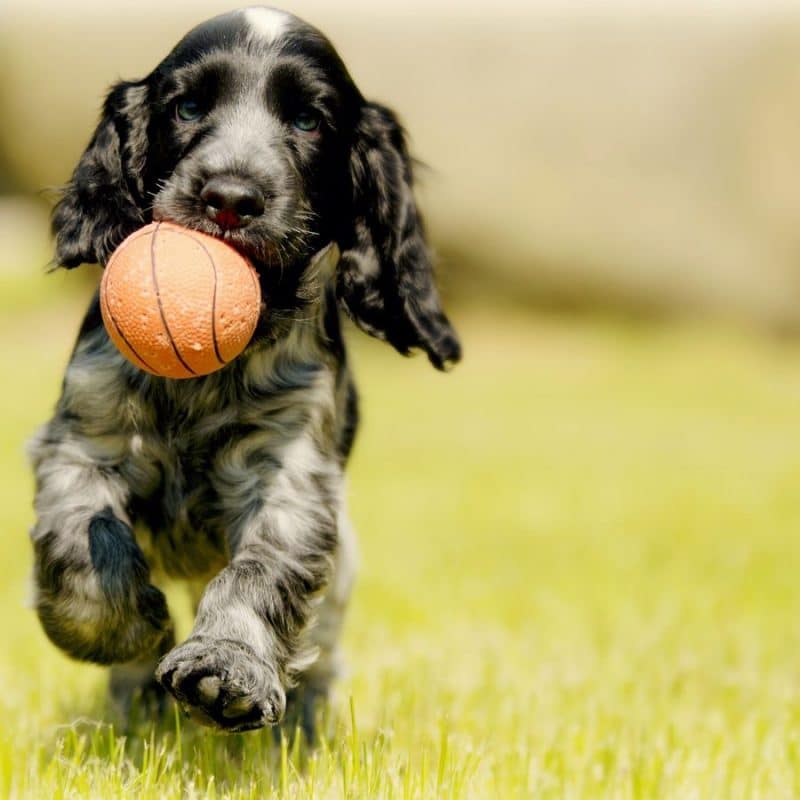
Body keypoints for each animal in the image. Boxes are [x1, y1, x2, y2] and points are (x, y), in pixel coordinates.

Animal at [29, 6, 462, 736]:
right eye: (187, 107)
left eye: (308, 120)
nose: (230, 197)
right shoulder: (86, 435)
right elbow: (82, 535)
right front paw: (120, 629)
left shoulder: (289, 470)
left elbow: (262, 569)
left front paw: (227, 669)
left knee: (322, 645)